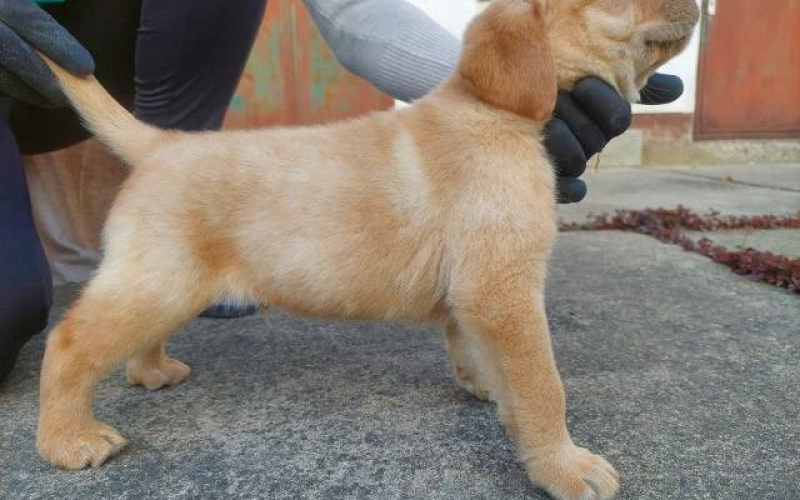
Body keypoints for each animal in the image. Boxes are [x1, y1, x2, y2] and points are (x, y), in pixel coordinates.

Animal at [39, 1, 700, 498]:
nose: (697, 2)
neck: (496, 110)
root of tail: (159, 145)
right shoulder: (502, 288)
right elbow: (544, 385)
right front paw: (565, 466)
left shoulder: (478, 293)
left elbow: (483, 354)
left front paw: (489, 387)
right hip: (157, 281)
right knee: (68, 342)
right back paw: (68, 440)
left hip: (167, 284)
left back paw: (151, 372)